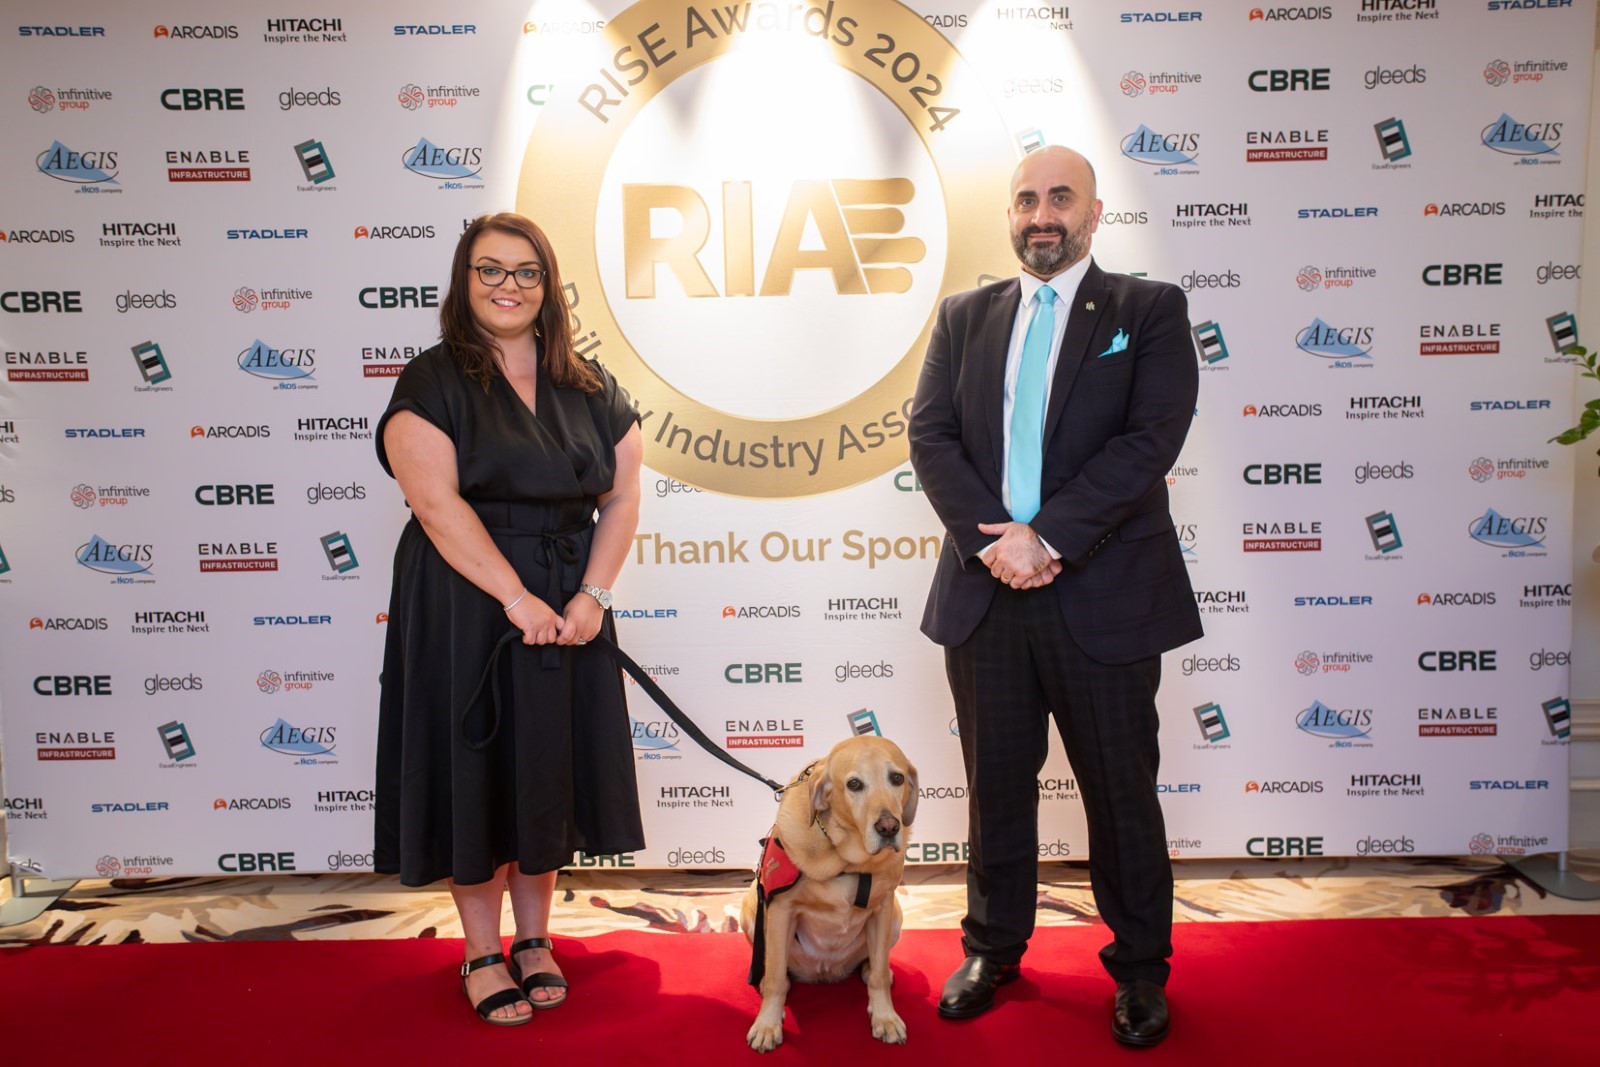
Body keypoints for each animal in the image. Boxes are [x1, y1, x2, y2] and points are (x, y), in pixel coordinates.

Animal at [739, 735, 921, 1049]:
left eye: (897, 778)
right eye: (854, 784)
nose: (888, 827)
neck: (847, 863)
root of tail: (823, 973)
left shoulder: (883, 907)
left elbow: (879, 977)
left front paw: (885, 1016)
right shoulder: (782, 910)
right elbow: (775, 978)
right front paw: (767, 1024)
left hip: (896, 917)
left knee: (876, 966)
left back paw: (872, 970)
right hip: (752, 909)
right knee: (776, 970)